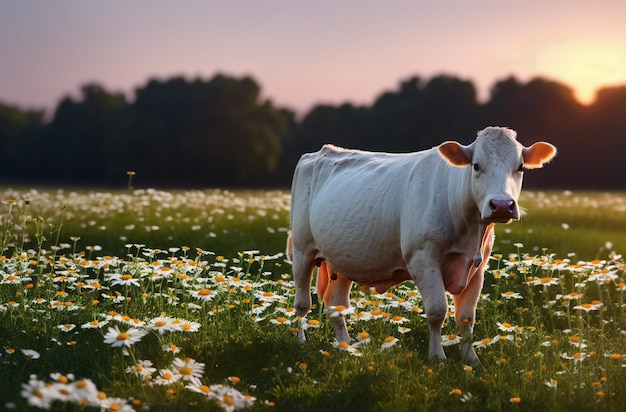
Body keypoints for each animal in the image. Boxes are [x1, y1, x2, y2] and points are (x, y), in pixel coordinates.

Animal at [286, 125, 552, 364]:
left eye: (520, 167)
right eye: (476, 165)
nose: (502, 205)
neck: (469, 231)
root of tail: (320, 152)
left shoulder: (478, 267)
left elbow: (466, 317)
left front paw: (471, 359)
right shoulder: (423, 259)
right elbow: (437, 311)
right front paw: (437, 357)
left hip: (342, 260)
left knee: (336, 304)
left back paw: (345, 346)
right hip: (301, 250)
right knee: (302, 303)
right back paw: (300, 342)